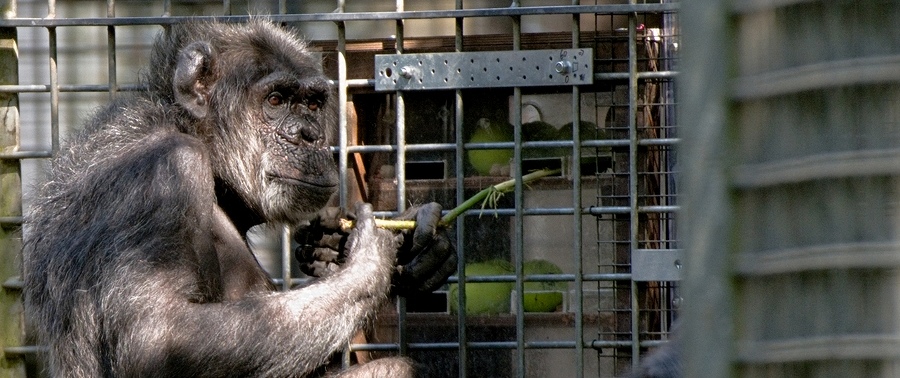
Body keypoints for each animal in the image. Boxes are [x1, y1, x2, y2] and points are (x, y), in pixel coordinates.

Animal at [21, 20, 458, 378]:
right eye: (276, 100)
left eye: (313, 104)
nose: (309, 135)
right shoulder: (161, 177)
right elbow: (159, 339)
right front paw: (371, 257)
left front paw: (404, 250)